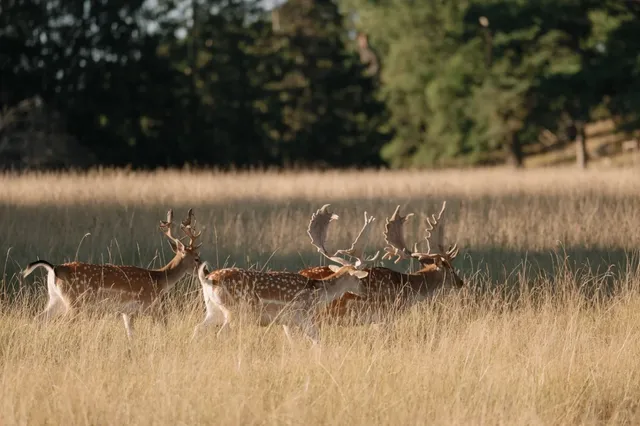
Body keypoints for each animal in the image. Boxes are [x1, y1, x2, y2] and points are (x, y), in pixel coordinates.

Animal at [21, 208, 203, 340]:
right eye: (196, 258)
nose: (205, 271)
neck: (158, 280)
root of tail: (54, 268)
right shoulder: (148, 305)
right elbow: (163, 325)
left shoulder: (127, 312)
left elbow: (131, 335)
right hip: (74, 302)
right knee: (62, 323)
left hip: (55, 299)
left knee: (39, 319)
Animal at [192, 261, 368, 345]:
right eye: (358, 278)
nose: (365, 291)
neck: (318, 293)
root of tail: (208, 279)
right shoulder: (303, 315)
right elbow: (316, 338)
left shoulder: (287, 321)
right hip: (234, 311)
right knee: (221, 333)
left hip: (213, 309)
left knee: (198, 327)